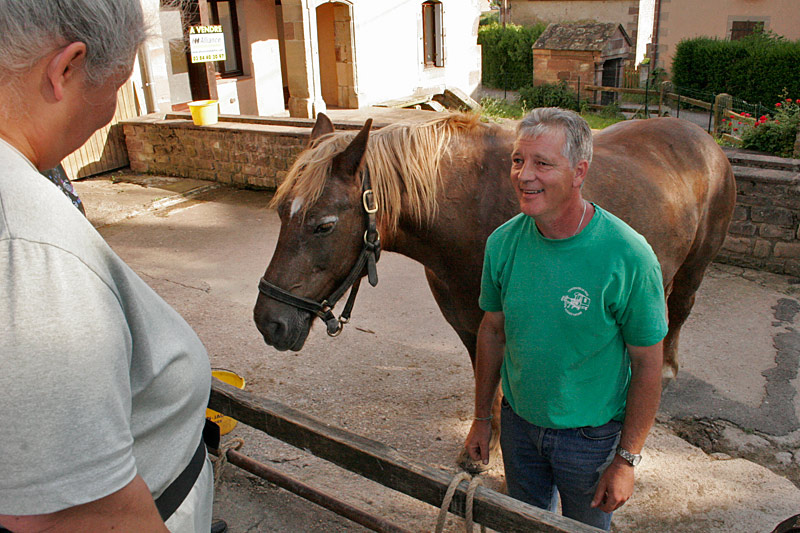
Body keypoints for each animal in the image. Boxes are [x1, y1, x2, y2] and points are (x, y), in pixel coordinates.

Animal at [253, 113, 736, 462]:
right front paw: (485, 444)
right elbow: (486, 380)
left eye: (324, 225)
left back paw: (666, 370)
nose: (268, 322)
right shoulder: (472, 323)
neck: (469, 209)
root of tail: (702, 138)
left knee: (679, 313)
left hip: (693, 271)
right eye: (280, 212)